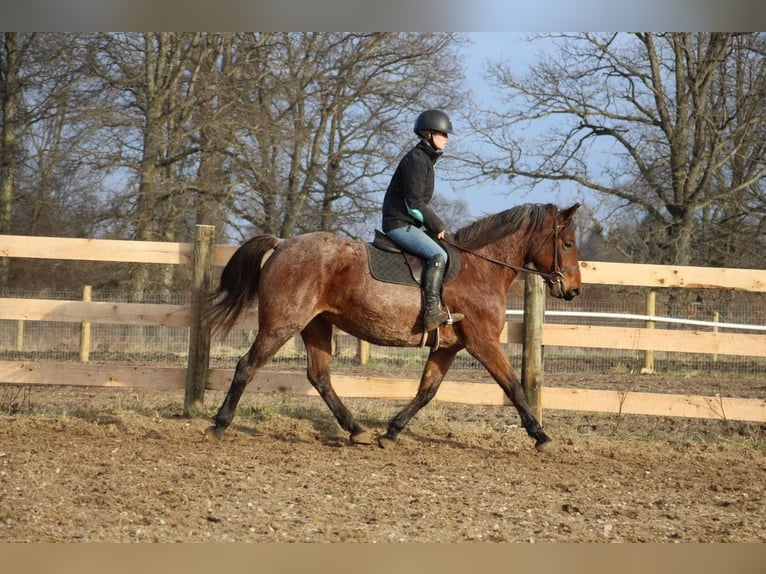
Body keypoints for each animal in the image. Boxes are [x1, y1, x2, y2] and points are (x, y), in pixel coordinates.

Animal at [204, 204, 584, 454]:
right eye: (567, 243)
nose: (574, 290)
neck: (480, 269)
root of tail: (283, 244)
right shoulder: (483, 342)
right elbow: (514, 388)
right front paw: (542, 437)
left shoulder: (448, 347)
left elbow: (426, 391)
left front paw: (391, 432)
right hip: (282, 324)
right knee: (247, 366)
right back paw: (220, 423)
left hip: (316, 326)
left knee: (320, 377)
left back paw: (356, 430)